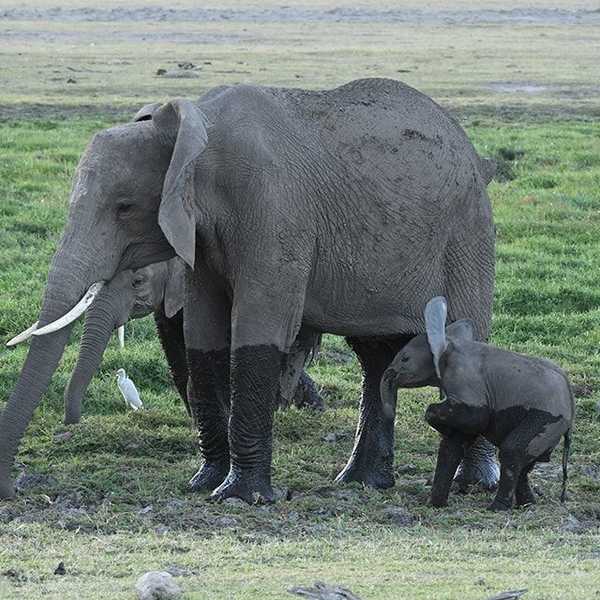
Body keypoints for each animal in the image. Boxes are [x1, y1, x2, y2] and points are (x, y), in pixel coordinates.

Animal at [0, 79, 496, 502]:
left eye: (123, 208)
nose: (12, 489)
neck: (194, 135)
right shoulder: (200, 236)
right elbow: (202, 333)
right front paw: (203, 484)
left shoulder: (272, 210)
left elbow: (258, 329)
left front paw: (240, 497)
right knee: (374, 357)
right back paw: (362, 482)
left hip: (467, 232)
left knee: (462, 344)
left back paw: (475, 485)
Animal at [382, 296, 576, 510]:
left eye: (405, 359)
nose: (391, 414)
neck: (450, 342)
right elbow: (452, 446)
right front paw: (435, 505)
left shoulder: (465, 380)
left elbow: (476, 418)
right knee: (525, 464)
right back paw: (526, 505)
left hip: (547, 418)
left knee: (512, 452)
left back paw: (498, 508)